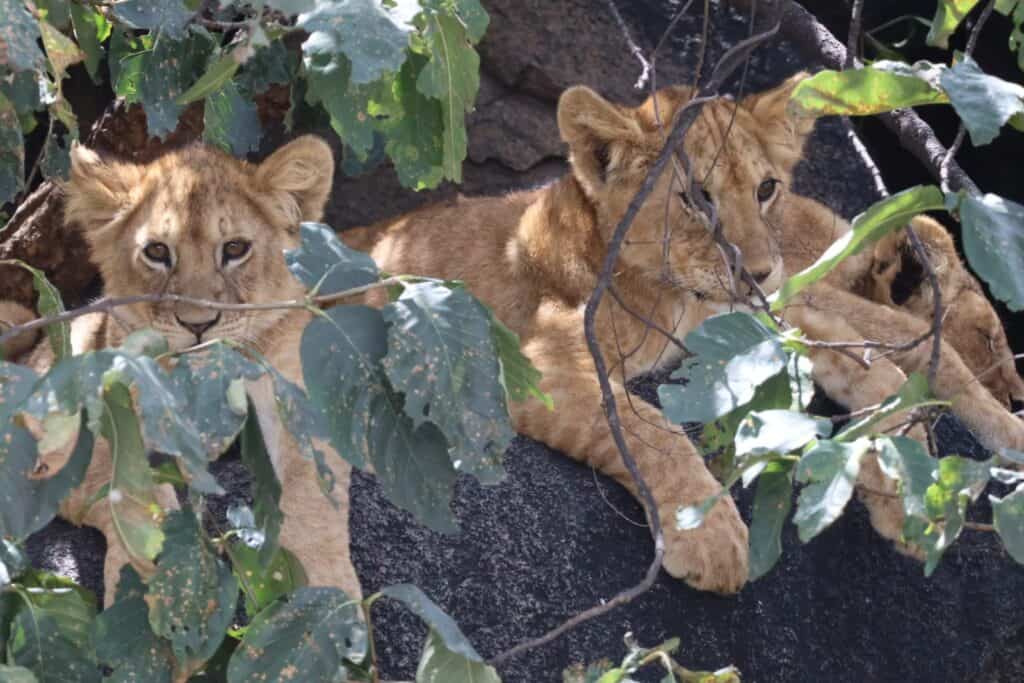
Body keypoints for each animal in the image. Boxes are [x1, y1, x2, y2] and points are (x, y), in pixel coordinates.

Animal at [0, 136, 363, 608]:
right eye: (157, 252)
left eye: (235, 249)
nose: (197, 324)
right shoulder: (69, 433)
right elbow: (135, 489)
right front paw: (166, 597)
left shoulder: (300, 401)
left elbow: (310, 495)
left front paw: (331, 597)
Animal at [342, 74, 1024, 592]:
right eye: (697, 197)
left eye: (766, 188)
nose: (759, 271)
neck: (675, 296)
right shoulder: (529, 357)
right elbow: (648, 425)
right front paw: (713, 539)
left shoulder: (749, 319)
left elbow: (858, 358)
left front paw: (903, 479)